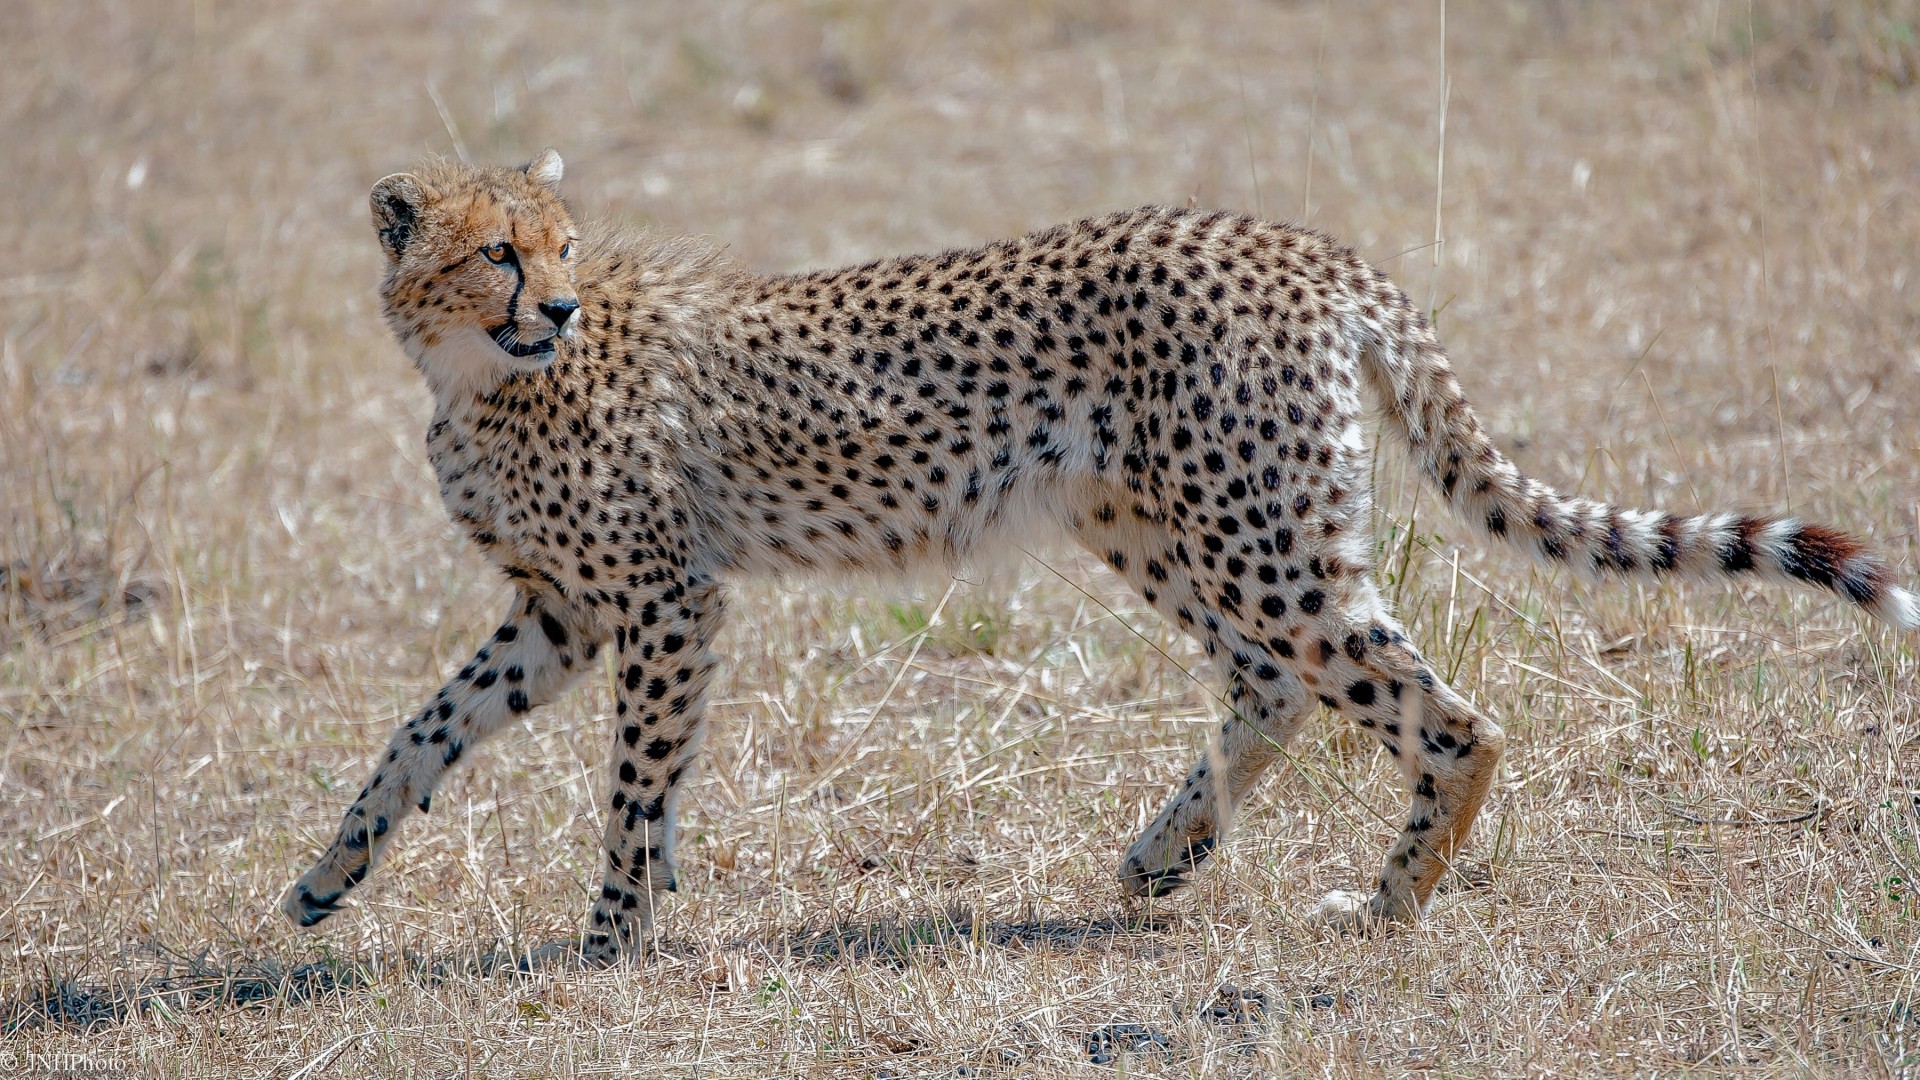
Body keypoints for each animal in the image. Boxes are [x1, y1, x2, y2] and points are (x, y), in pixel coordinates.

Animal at [283, 149, 1917, 966]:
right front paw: (324, 880)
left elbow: (633, 781)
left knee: (1446, 717)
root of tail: (1301, 244)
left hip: (1252, 535)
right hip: (1162, 522)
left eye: (560, 247)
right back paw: (1165, 853)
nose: (554, 307)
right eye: (499, 251)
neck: (478, 375)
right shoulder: (564, 611)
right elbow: (423, 732)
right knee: (1276, 685)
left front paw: (615, 934)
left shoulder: (665, 599)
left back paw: (1384, 910)